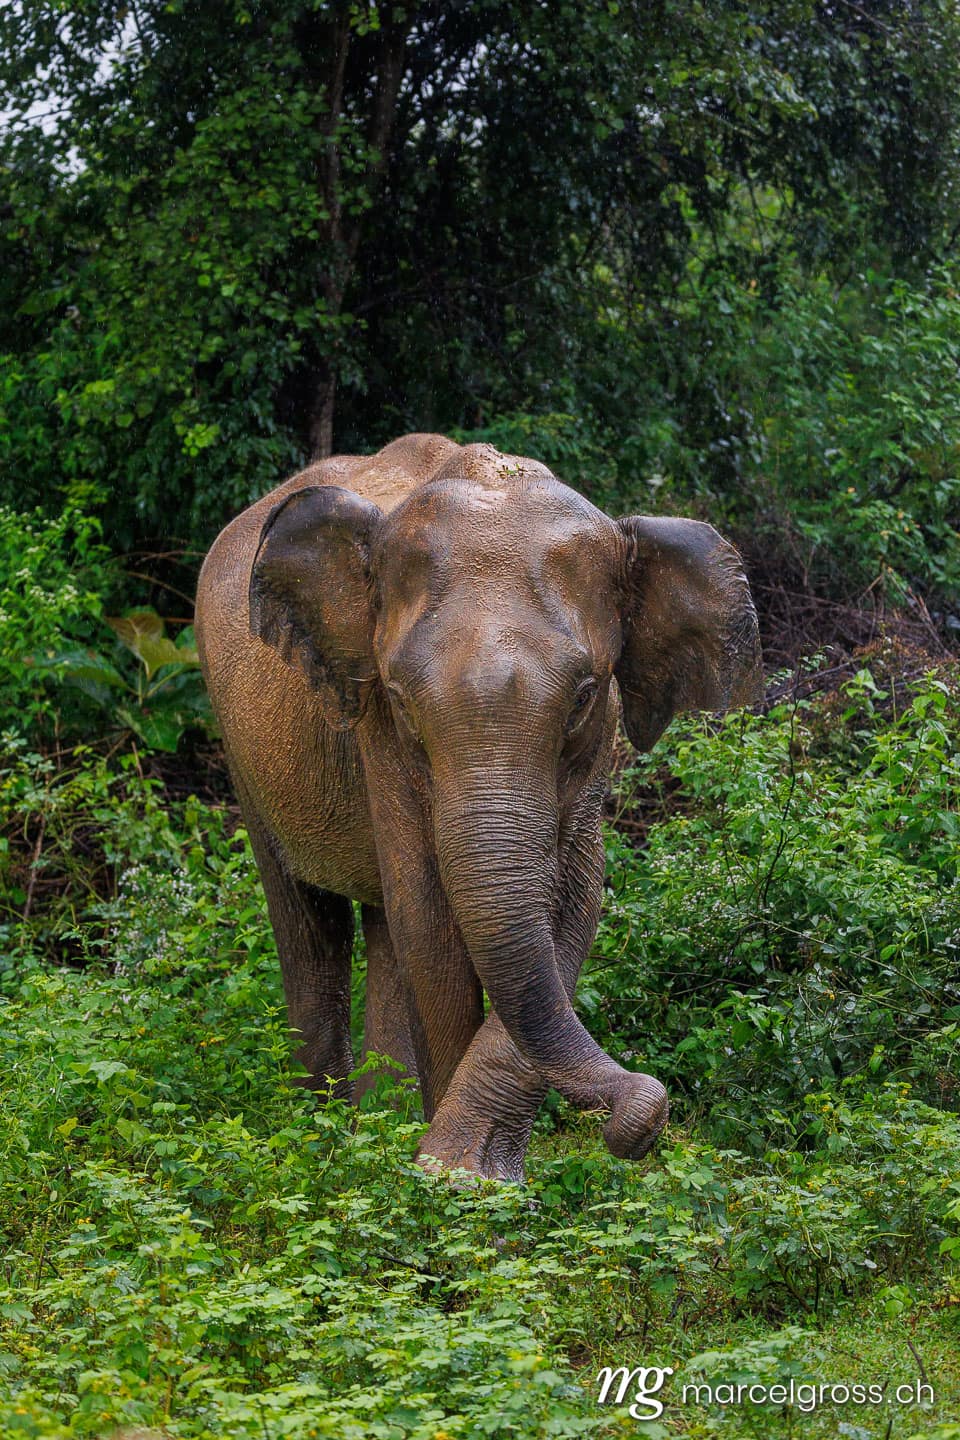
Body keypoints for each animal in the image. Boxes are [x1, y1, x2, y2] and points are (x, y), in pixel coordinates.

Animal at [195, 432, 762, 1182]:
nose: (641, 1126)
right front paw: (450, 1176)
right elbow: (431, 917)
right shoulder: (379, 735)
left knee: (383, 926)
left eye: (584, 696)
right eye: (401, 699)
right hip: (241, 746)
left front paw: (464, 1167)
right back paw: (326, 1128)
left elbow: (573, 901)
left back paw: (381, 1120)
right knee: (311, 923)